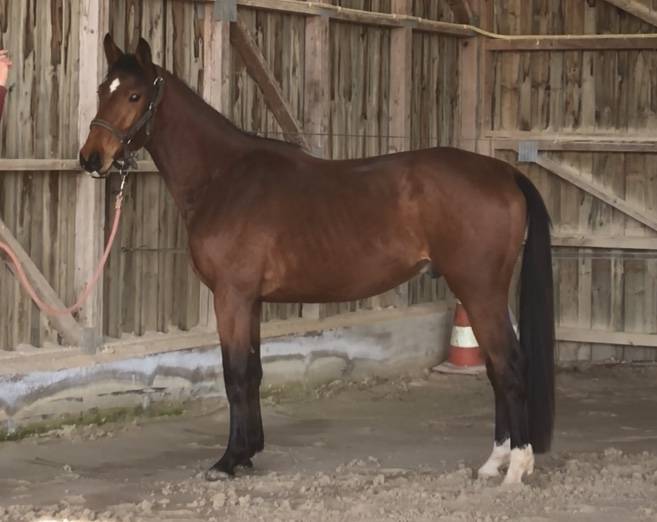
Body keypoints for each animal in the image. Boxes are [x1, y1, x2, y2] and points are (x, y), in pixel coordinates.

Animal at [79, 34, 555, 485]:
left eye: (135, 96)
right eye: (103, 89)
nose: (91, 158)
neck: (224, 177)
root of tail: (502, 172)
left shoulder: (231, 297)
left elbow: (234, 375)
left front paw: (228, 460)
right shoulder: (251, 302)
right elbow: (253, 373)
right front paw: (249, 452)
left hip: (478, 289)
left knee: (509, 366)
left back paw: (515, 467)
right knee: (495, 368)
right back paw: (494, 462)